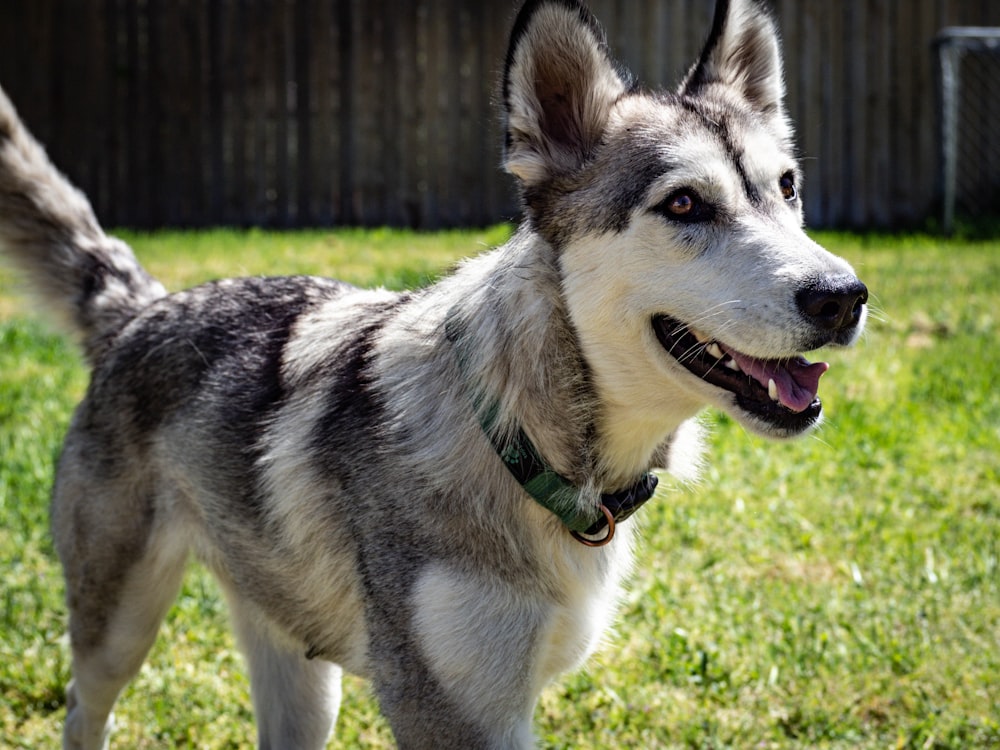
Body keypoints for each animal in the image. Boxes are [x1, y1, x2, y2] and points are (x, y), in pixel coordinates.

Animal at [0, 0, 868, 748]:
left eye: (786, 188)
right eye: (685, 205)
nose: (843, 297)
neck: (522, 442)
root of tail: (143, 306)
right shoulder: (456, 714)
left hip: (303, 684)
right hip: (118, 628)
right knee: (83, 710)